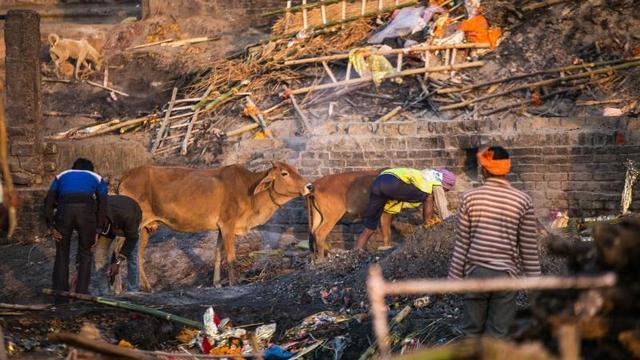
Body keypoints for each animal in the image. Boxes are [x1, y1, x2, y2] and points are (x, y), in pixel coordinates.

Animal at [119, 162, 312, 292]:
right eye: (284, 173)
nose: (309, 186)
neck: (250, 193)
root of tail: (125, 176)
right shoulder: (228, 224)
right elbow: (231, 256)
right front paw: (234, 283)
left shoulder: (221, 227)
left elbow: (218, 254)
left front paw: (217, 283)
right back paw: (117, 289)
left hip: (146, 229)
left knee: (138, 254)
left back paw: (146, 287)